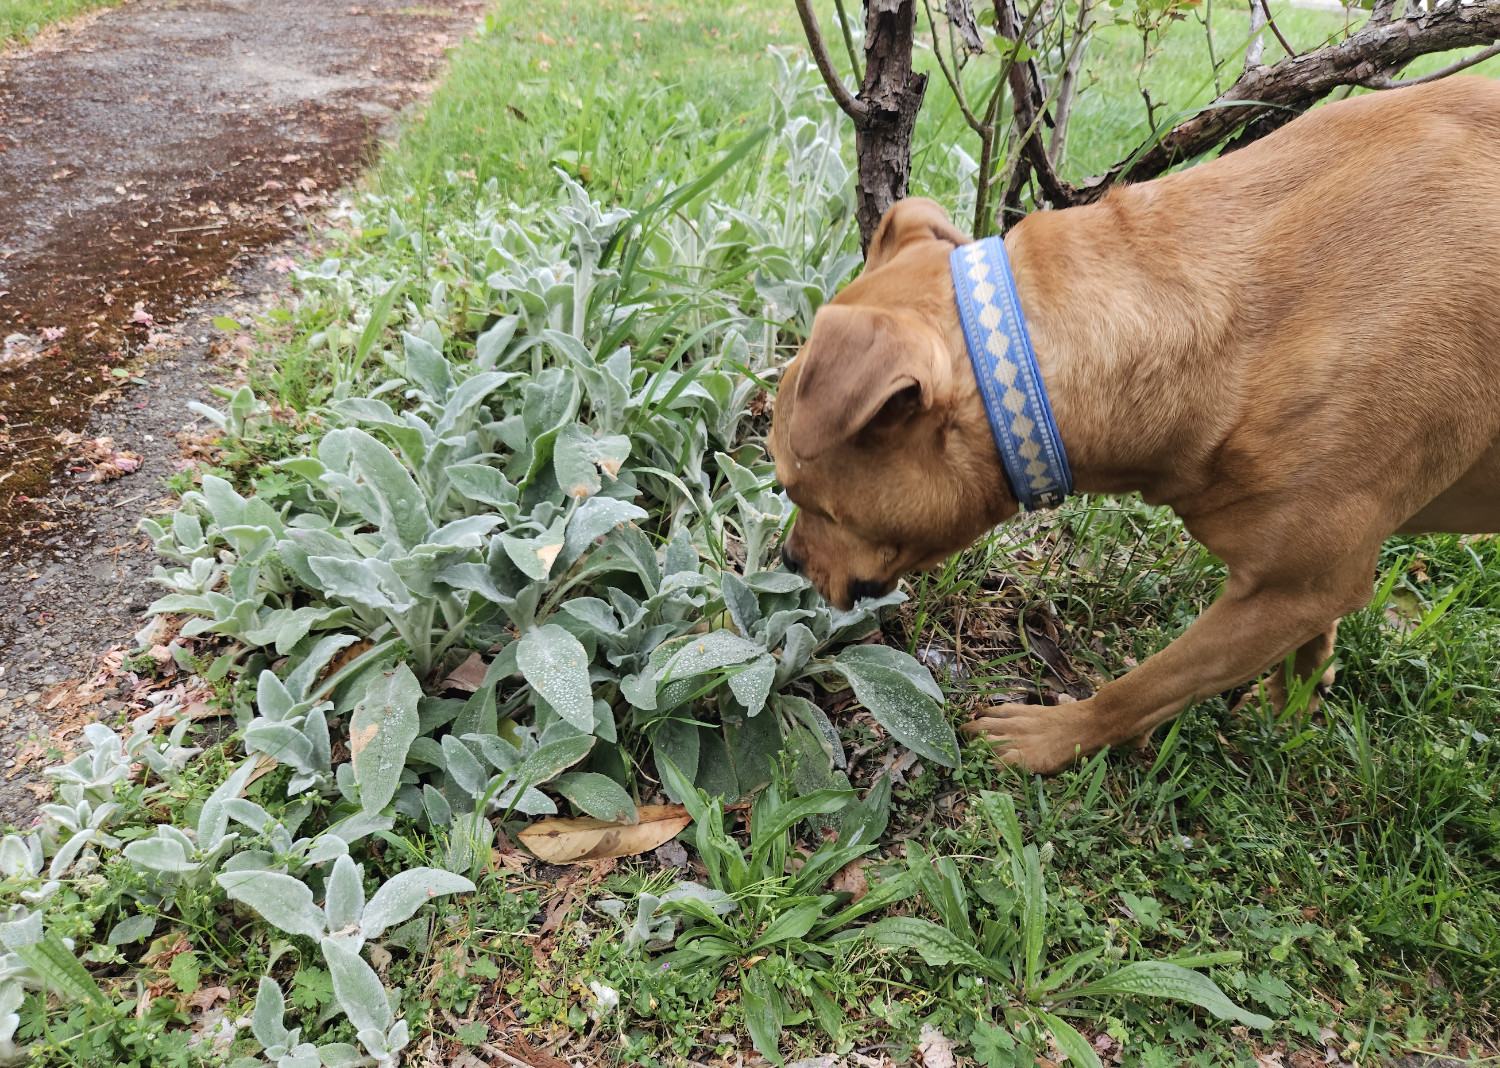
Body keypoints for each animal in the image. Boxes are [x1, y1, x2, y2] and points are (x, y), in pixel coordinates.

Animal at [768, 77, 1500, 774]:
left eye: (801, 494)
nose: (788, 560)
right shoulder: (1313, 590)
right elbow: (1314, 644)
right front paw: (1291, 706)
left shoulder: (1288, 593)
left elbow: (1147, 686)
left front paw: (1056, 736)